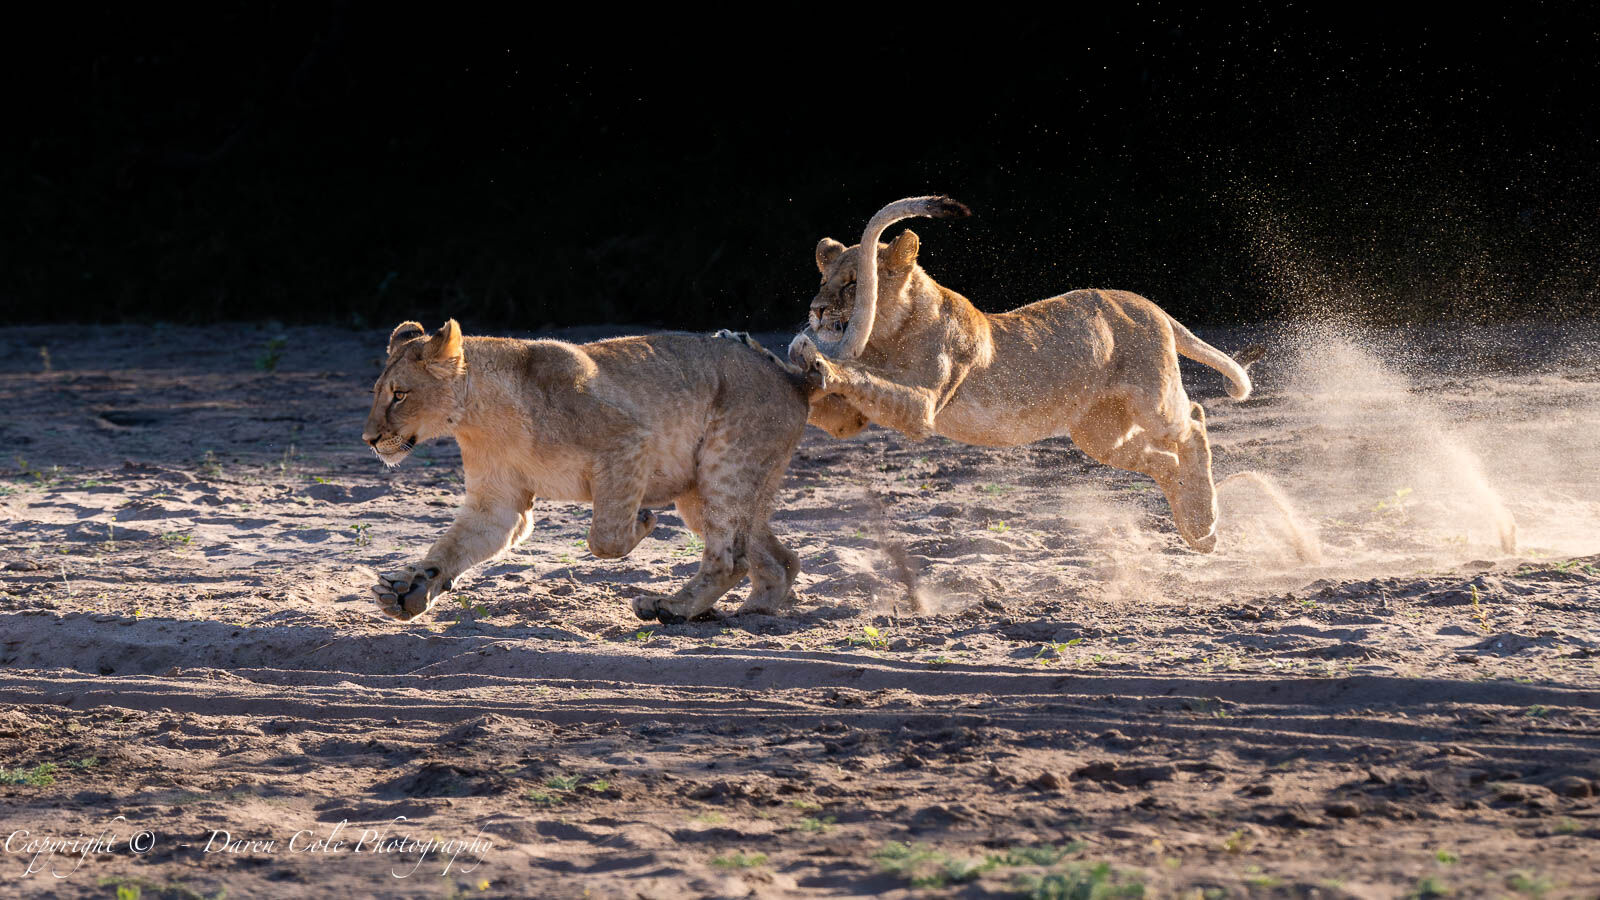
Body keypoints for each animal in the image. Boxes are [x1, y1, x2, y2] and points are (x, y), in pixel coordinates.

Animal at [363, 320, 814, 623]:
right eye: (378, 393)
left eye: (399, 394)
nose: (369, 439)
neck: (479, 416)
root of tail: (792, 379)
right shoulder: (496, 503)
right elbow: (450, 548)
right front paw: (408, 592)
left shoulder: (628, 441)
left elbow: (605, 539)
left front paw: (643, 521)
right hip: (707, 492)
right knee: (779, 559)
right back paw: (750, 612)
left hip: (725, 467)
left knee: (732, 559)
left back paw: (671, 607)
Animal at [788, 196, 1253, 553]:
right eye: (823, 279)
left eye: (853, 283)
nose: (816, 311)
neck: (886, 335)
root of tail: (1148, 303)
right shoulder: (854, 416)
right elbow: (854, 390)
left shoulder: (922, 403)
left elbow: (867, 377)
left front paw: (817, 359)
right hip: (1098, 434)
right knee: (1162, 460)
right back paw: (1199, 532)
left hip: (1154, 403)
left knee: (1194, 420)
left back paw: (1205, 521)